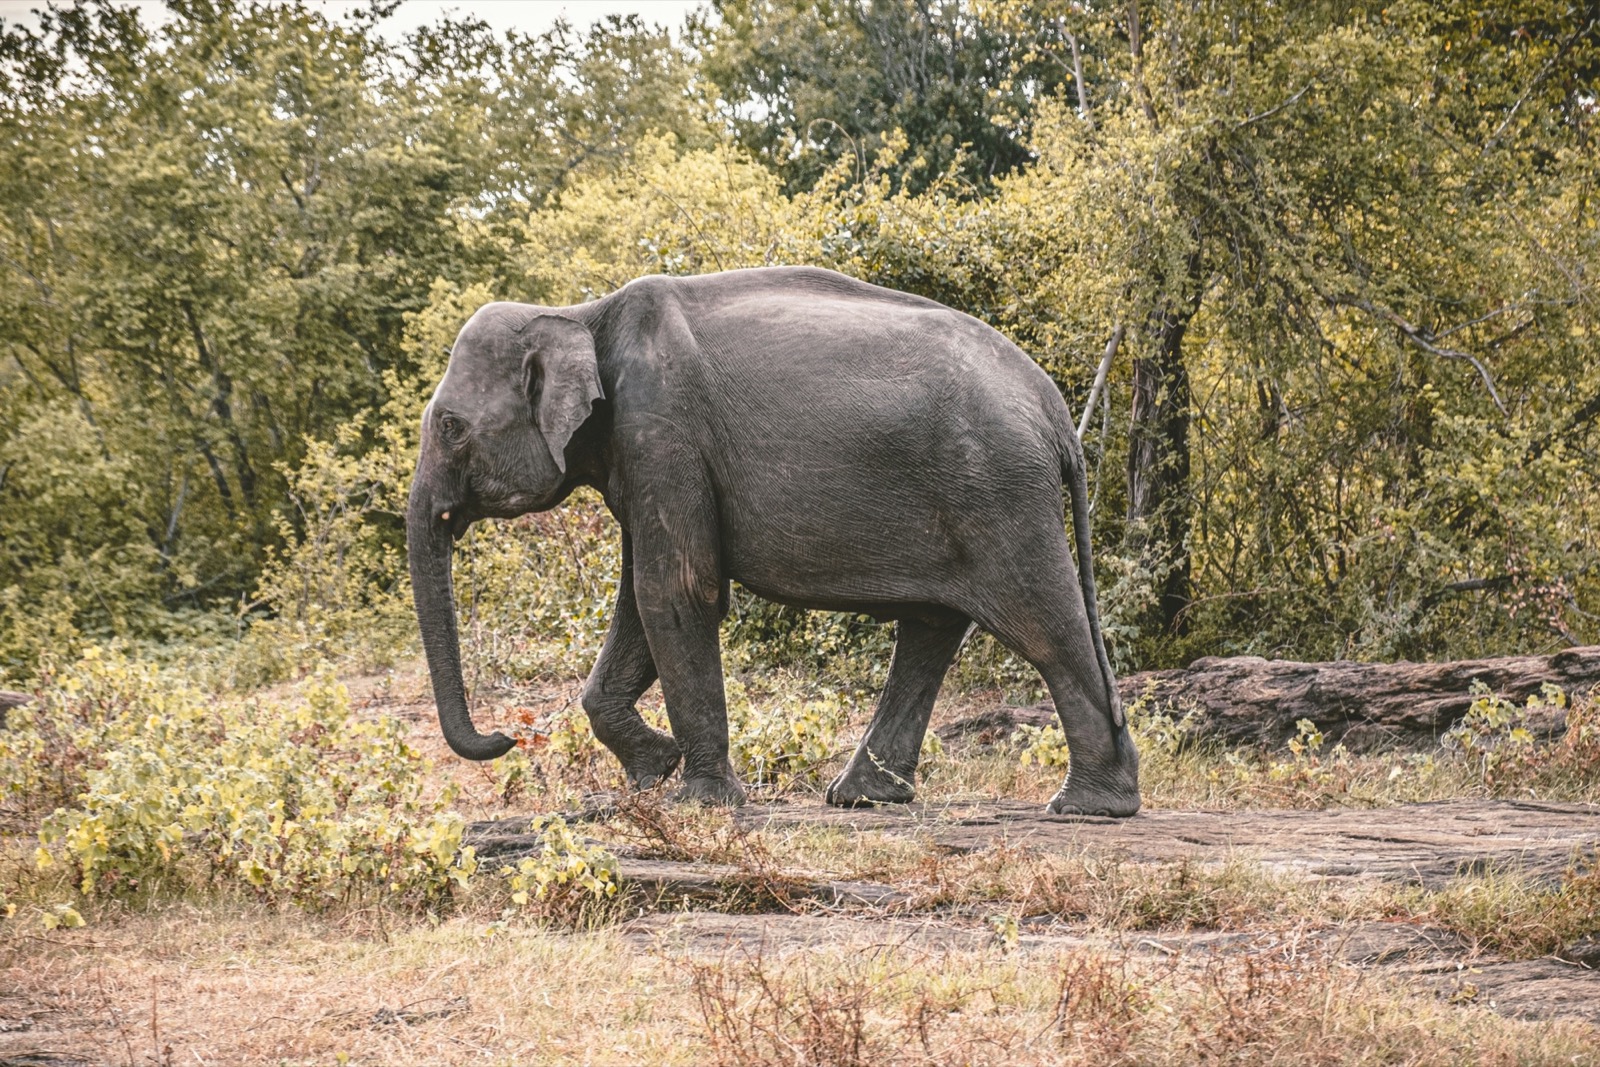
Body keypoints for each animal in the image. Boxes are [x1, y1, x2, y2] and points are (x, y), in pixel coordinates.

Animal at [406, 266, 1140, 816]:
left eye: (450, 427)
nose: (508, 734)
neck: (579, 314)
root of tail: (1055, 411)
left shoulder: (662, 431)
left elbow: (676, 591)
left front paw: (699, 802)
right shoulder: (642, 455)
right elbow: (639, 603)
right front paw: (653, 773)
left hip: (999, 492)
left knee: (1040, 620)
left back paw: (1088, 806)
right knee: (932, 629)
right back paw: (862, 798)